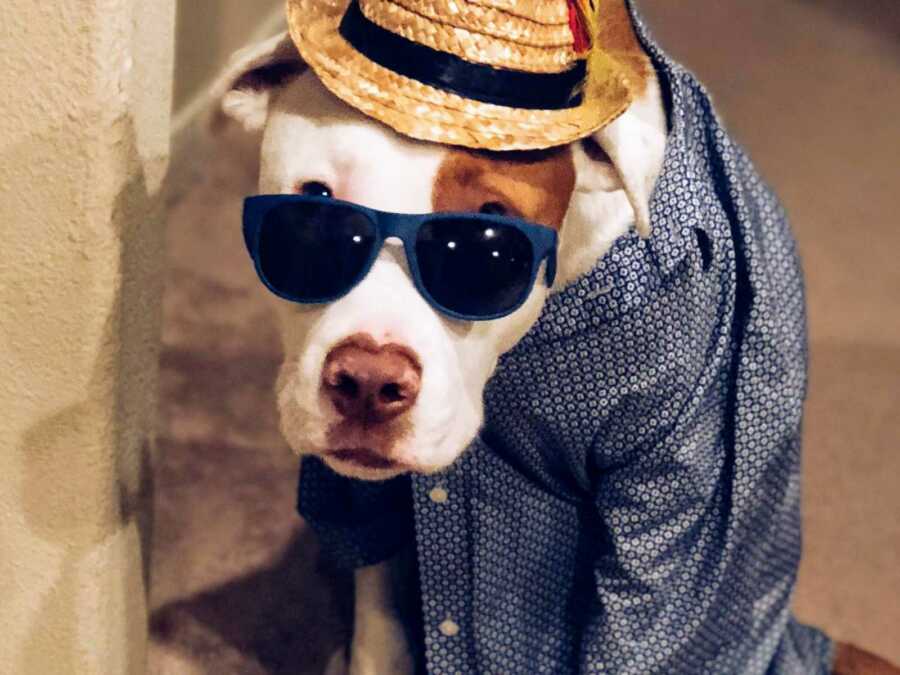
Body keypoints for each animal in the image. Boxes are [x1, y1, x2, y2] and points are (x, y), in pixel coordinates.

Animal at [216, 2, 900, 672]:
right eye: (312, 217)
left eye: (490, 246)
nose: (366, 381)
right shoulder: (361, 499)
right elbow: (377, 612)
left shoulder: (674, 515)